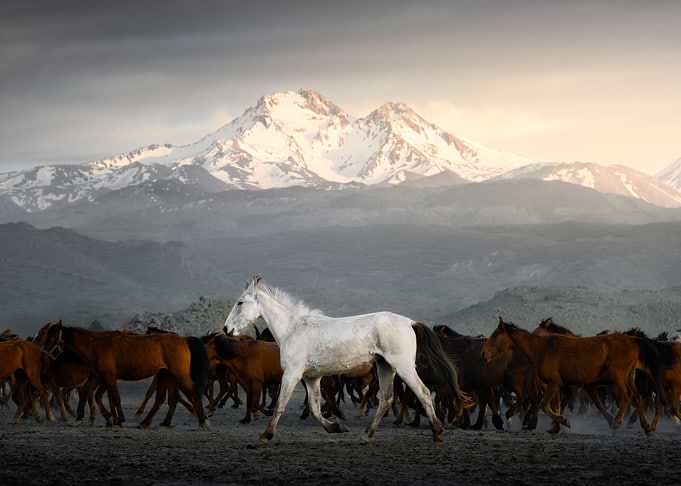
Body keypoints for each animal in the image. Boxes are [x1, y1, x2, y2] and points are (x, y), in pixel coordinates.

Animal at [46, 322, 210, 430]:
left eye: (52, 337)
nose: (45, 353)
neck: (95, 346)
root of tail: (184, 340)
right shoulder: (98, 377)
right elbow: (88, 394)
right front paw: (79, 418)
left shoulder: (109, 376)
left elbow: (115, 397)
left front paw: (120, 420)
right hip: (166, 376)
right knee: (162, 399)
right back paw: (147, 422)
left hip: (180, 376)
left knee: (194, 394)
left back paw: (203, 422)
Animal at [224, 276, 471, 444]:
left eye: (240, 303)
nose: (227, 329)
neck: (293, 329)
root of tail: (409, 322)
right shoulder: (311, 378)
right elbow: (315, 408)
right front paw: (336, 427)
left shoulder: (292, 374)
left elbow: (281, 405)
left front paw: (265, 436)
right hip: (385, 367)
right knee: (386, 399)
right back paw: (366, 435)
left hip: (403, 367)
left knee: (423, 393)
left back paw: (437, 433)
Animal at [482, 317, 670, 434]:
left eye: (495, 335)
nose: (483, 353)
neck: (541, 348)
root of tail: (633, 340)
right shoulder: (560, 385)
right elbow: (555, 405)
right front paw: (555, 427)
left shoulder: (554, 384)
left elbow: (546, 405)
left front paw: (564, 422)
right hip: (629, 377)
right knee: (637, 398)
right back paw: (646, 427)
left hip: (619, 377)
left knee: (627, 397)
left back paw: (618, 422)